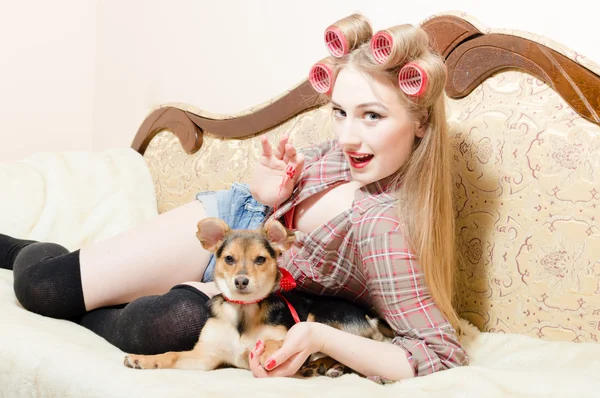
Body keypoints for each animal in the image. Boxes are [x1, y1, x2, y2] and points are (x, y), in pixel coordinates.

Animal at [123, 218, 394, 376]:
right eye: (229, 259)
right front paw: (143, 360)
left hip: (320, 317)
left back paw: (323, 365)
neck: (244, 311)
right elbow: (171, 354)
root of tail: (368, 316)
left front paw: (265, 352)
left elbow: (275, 341)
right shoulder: (205, 358)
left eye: (261, 259)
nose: (241, 281)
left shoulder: (289, 334)